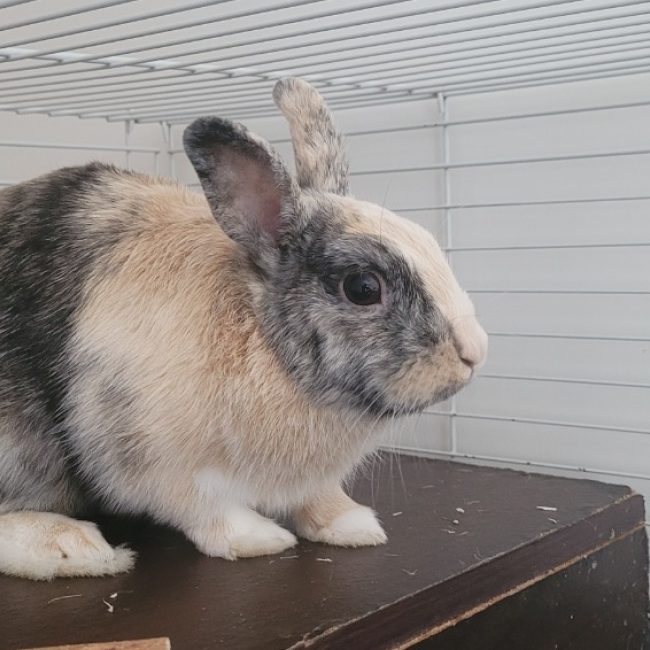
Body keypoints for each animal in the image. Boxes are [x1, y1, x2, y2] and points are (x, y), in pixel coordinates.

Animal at [0, 78, 487, 580]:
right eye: (363, 287)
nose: (475, 352)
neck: (261, 336)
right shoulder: (154, 459)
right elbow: (205, 508)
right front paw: (258, 540)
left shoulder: (308, 478)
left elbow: (320, 499)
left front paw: (352, 525)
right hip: (16, 444)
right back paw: (74, 548)